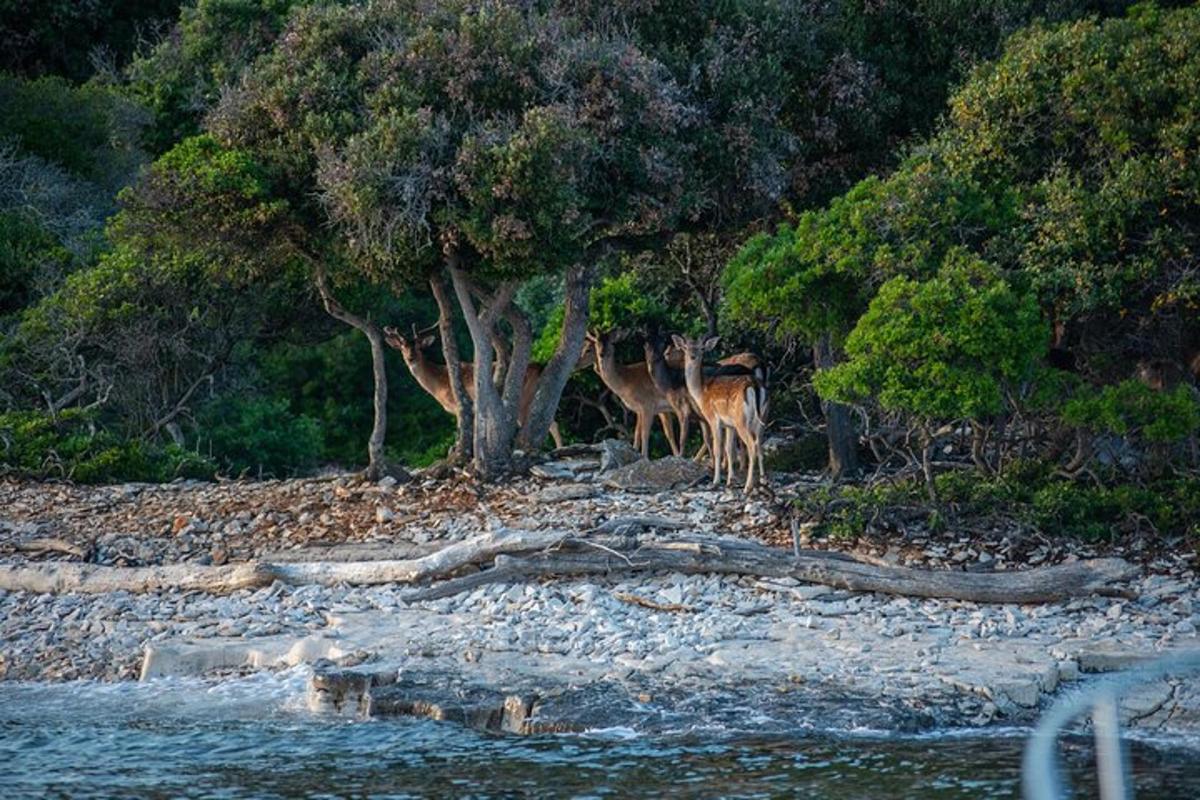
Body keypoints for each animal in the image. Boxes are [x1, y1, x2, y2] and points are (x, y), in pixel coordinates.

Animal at [388, 326, 566, 450]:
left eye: (419, 347)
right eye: (402, 347)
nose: (411, 358)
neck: (440, 383)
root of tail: (539, 367)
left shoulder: (460, 406)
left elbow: (463, 431)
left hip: (523, 398)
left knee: (547, 423)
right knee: (549, 420)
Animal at [672, 333, 763, 494]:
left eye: (702, 348)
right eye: (685, 347)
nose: (693, 356)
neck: (701, 393)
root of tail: (754, 386)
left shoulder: (713, 418)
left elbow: (717, 449)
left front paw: (715, 481)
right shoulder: (729, 425)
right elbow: (729, 449)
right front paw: (730, 481)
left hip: (741, 420)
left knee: (752, 445)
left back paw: (747, 487)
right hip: (760, 416)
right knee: (760, 445)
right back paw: (764, 481)